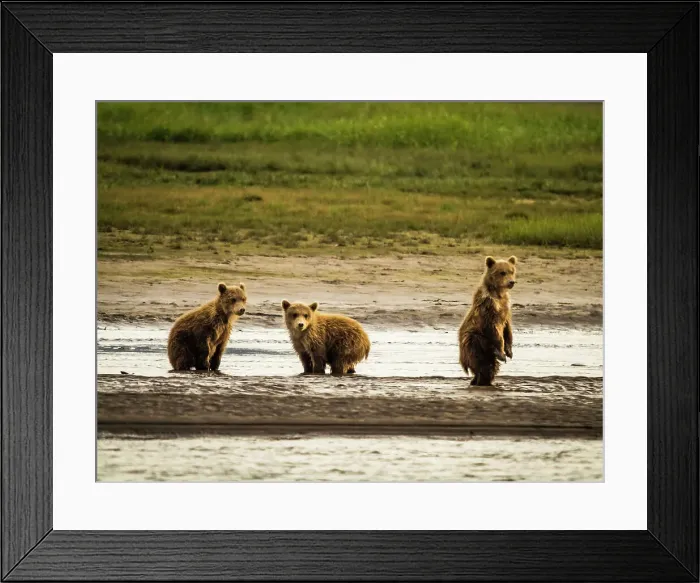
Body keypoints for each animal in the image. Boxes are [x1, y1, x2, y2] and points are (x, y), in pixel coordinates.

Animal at [458, 256, 517, 386]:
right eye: (502, 272)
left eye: (512, 271)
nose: (511, 282)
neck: (498, 294)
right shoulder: (489, 307)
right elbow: (495, 330)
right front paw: (502, 353)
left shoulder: (506, 306)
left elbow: (508, 328)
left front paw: (509, 352)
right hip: (472, 340)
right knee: (480, 355)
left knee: (490, 367)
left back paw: (481, 380)